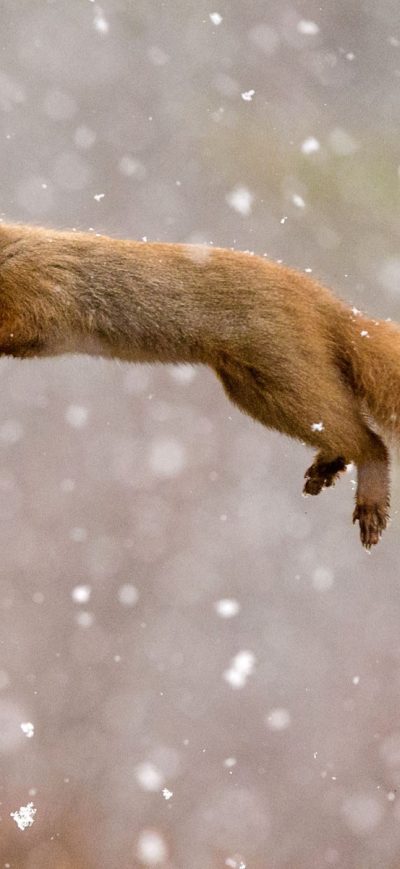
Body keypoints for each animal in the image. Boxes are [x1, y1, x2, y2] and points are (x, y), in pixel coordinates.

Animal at [0, 221, 397, 548]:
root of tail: (324, 301)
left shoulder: (39, 289)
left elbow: (23, 327)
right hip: (251, 390)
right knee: (345, 431)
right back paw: (323, 472)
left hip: (284, 376)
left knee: (369, 441)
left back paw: (370, 507)